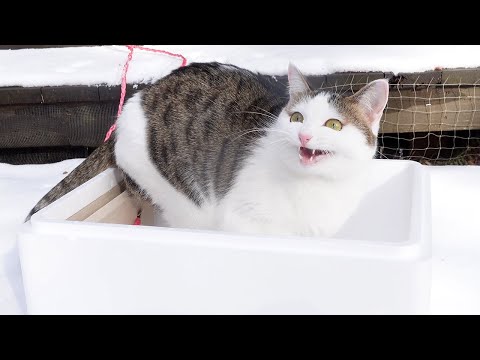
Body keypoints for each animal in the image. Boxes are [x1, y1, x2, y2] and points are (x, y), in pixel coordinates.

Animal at [24, 60, 388, 238]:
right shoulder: (242, 220)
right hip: (180, 197)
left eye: (334, 125)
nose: (305, 136)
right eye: (296, 118)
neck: (314, 189)